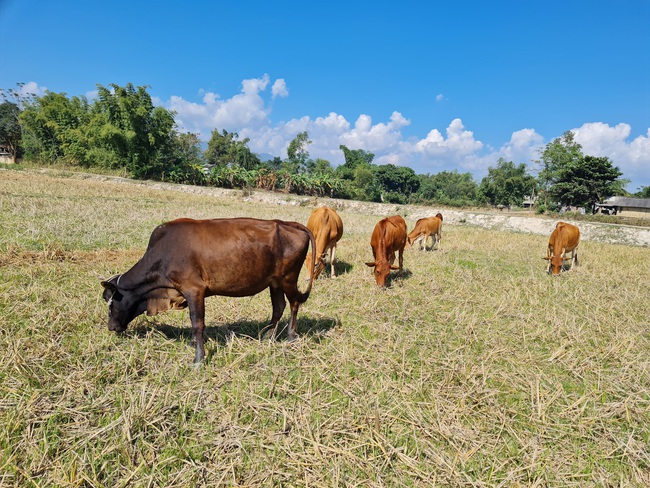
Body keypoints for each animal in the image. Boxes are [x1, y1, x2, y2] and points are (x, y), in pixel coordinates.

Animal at [100, 217, 316, 362]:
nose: (111, 327)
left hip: (288, 279)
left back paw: (290, 336)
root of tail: (286, 222)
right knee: (278, 308)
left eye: (110, 301)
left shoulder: (194, 290)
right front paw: (192, 346)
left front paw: (199, 358)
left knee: (294, 303)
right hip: (275, 282)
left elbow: (197, 324)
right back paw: (267, 337)